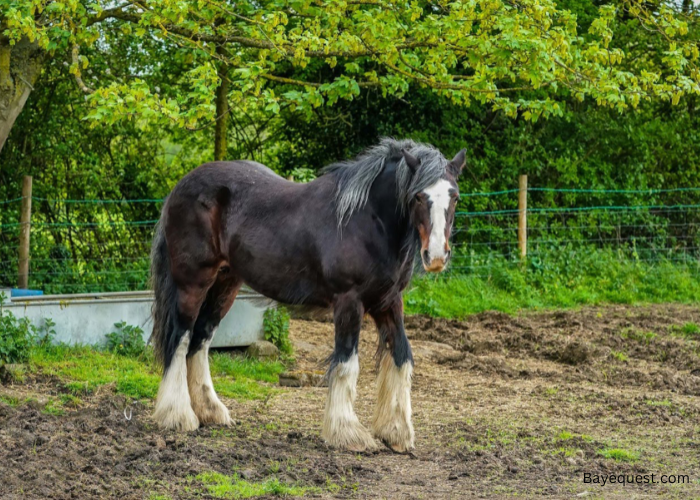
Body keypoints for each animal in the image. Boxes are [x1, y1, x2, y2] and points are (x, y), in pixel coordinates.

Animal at [151, 137, 464, 454]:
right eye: (418, 197)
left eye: (455, 197)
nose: (436, 256)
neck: (367, 219)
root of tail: (181, 185)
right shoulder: (349, 302)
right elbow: (346, 363)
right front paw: (348, 433)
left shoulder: (388, 302)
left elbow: (402, 357)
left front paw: (396, 432)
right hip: (193, 282)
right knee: (180, 338)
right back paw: (178, 415)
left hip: (225, 284)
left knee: (200, 340)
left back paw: (210, 411)